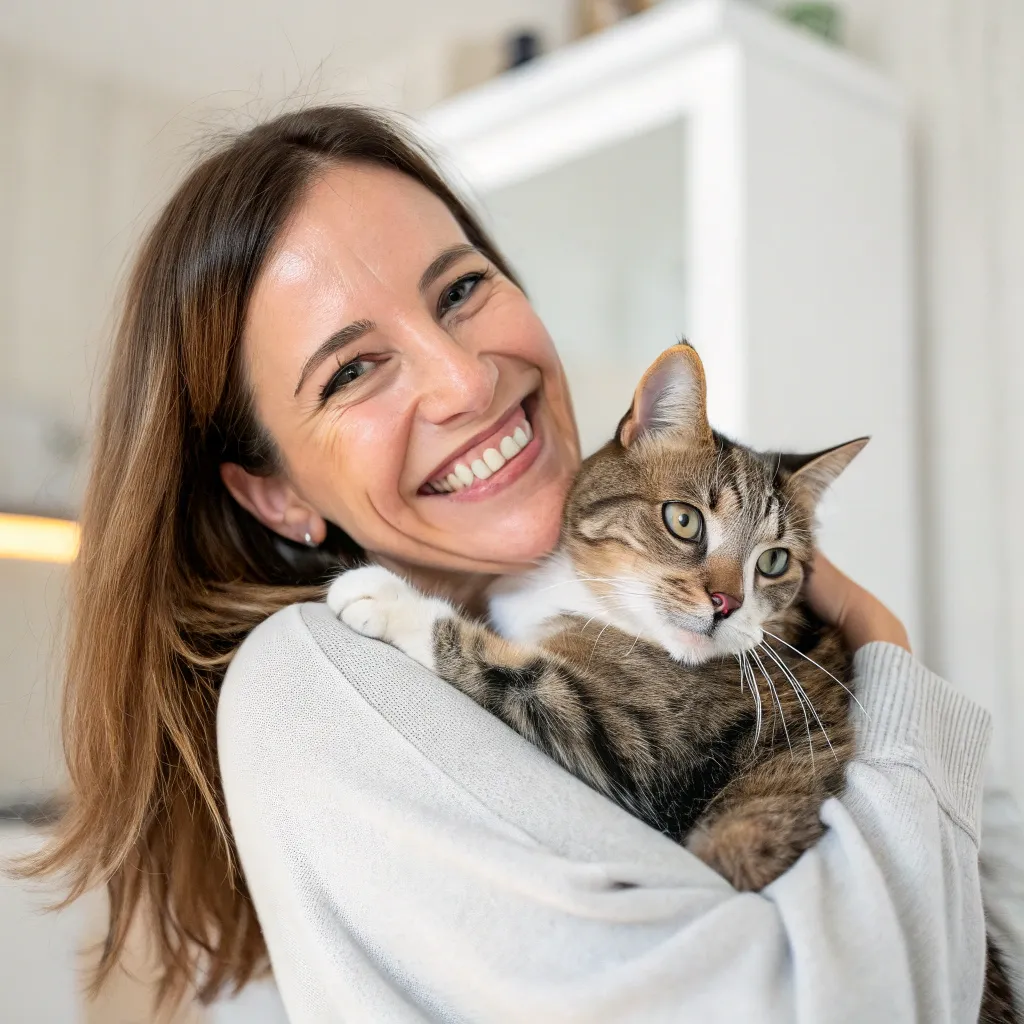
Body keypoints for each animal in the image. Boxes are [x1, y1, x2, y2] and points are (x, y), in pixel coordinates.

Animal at [325, 342, 1015, 1015]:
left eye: (773, 561)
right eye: (684, 521)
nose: (726, 603)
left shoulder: (633, 742)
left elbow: (517, 673)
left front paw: (385, 597)